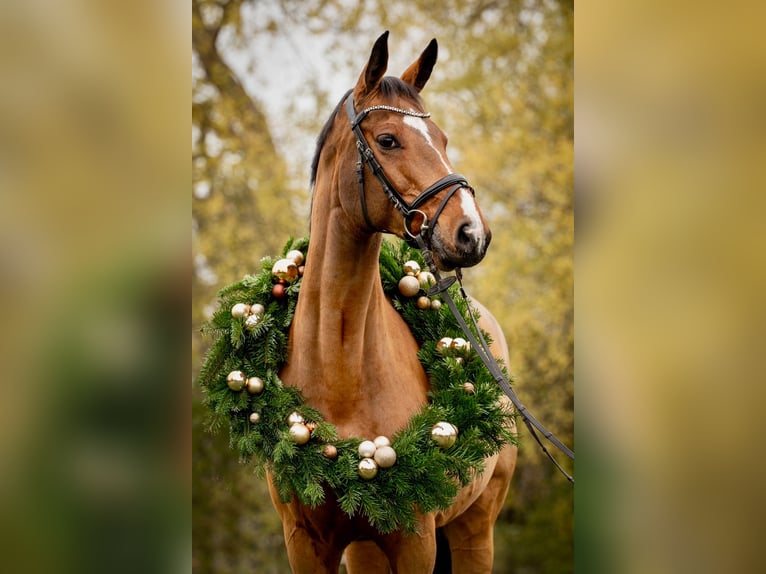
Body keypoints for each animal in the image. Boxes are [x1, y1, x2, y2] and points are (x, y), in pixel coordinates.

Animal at [268, 32, 520, 574]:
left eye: (442, 139)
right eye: (387, 140)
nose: (472, 233)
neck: (340, 370)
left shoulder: (415, 541)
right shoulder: (305, 543)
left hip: (476, 528)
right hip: (365, 548)